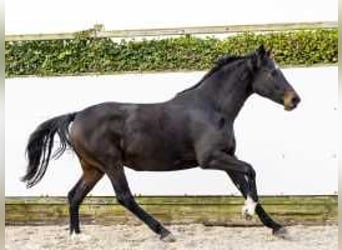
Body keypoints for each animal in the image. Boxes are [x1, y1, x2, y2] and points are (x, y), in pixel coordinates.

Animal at [22, 45, 300, 242]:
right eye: (273, 72)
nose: (294, 99)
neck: (211, 108)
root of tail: (77, 115)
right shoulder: (210, 158)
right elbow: (251, 169)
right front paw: (248, 212)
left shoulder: (227, 157)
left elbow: (245, 184)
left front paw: (277, 227)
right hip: (111, 163)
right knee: (124, 197)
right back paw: (164, 232)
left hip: (93, 168)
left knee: (74, 195)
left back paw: (77, 236)